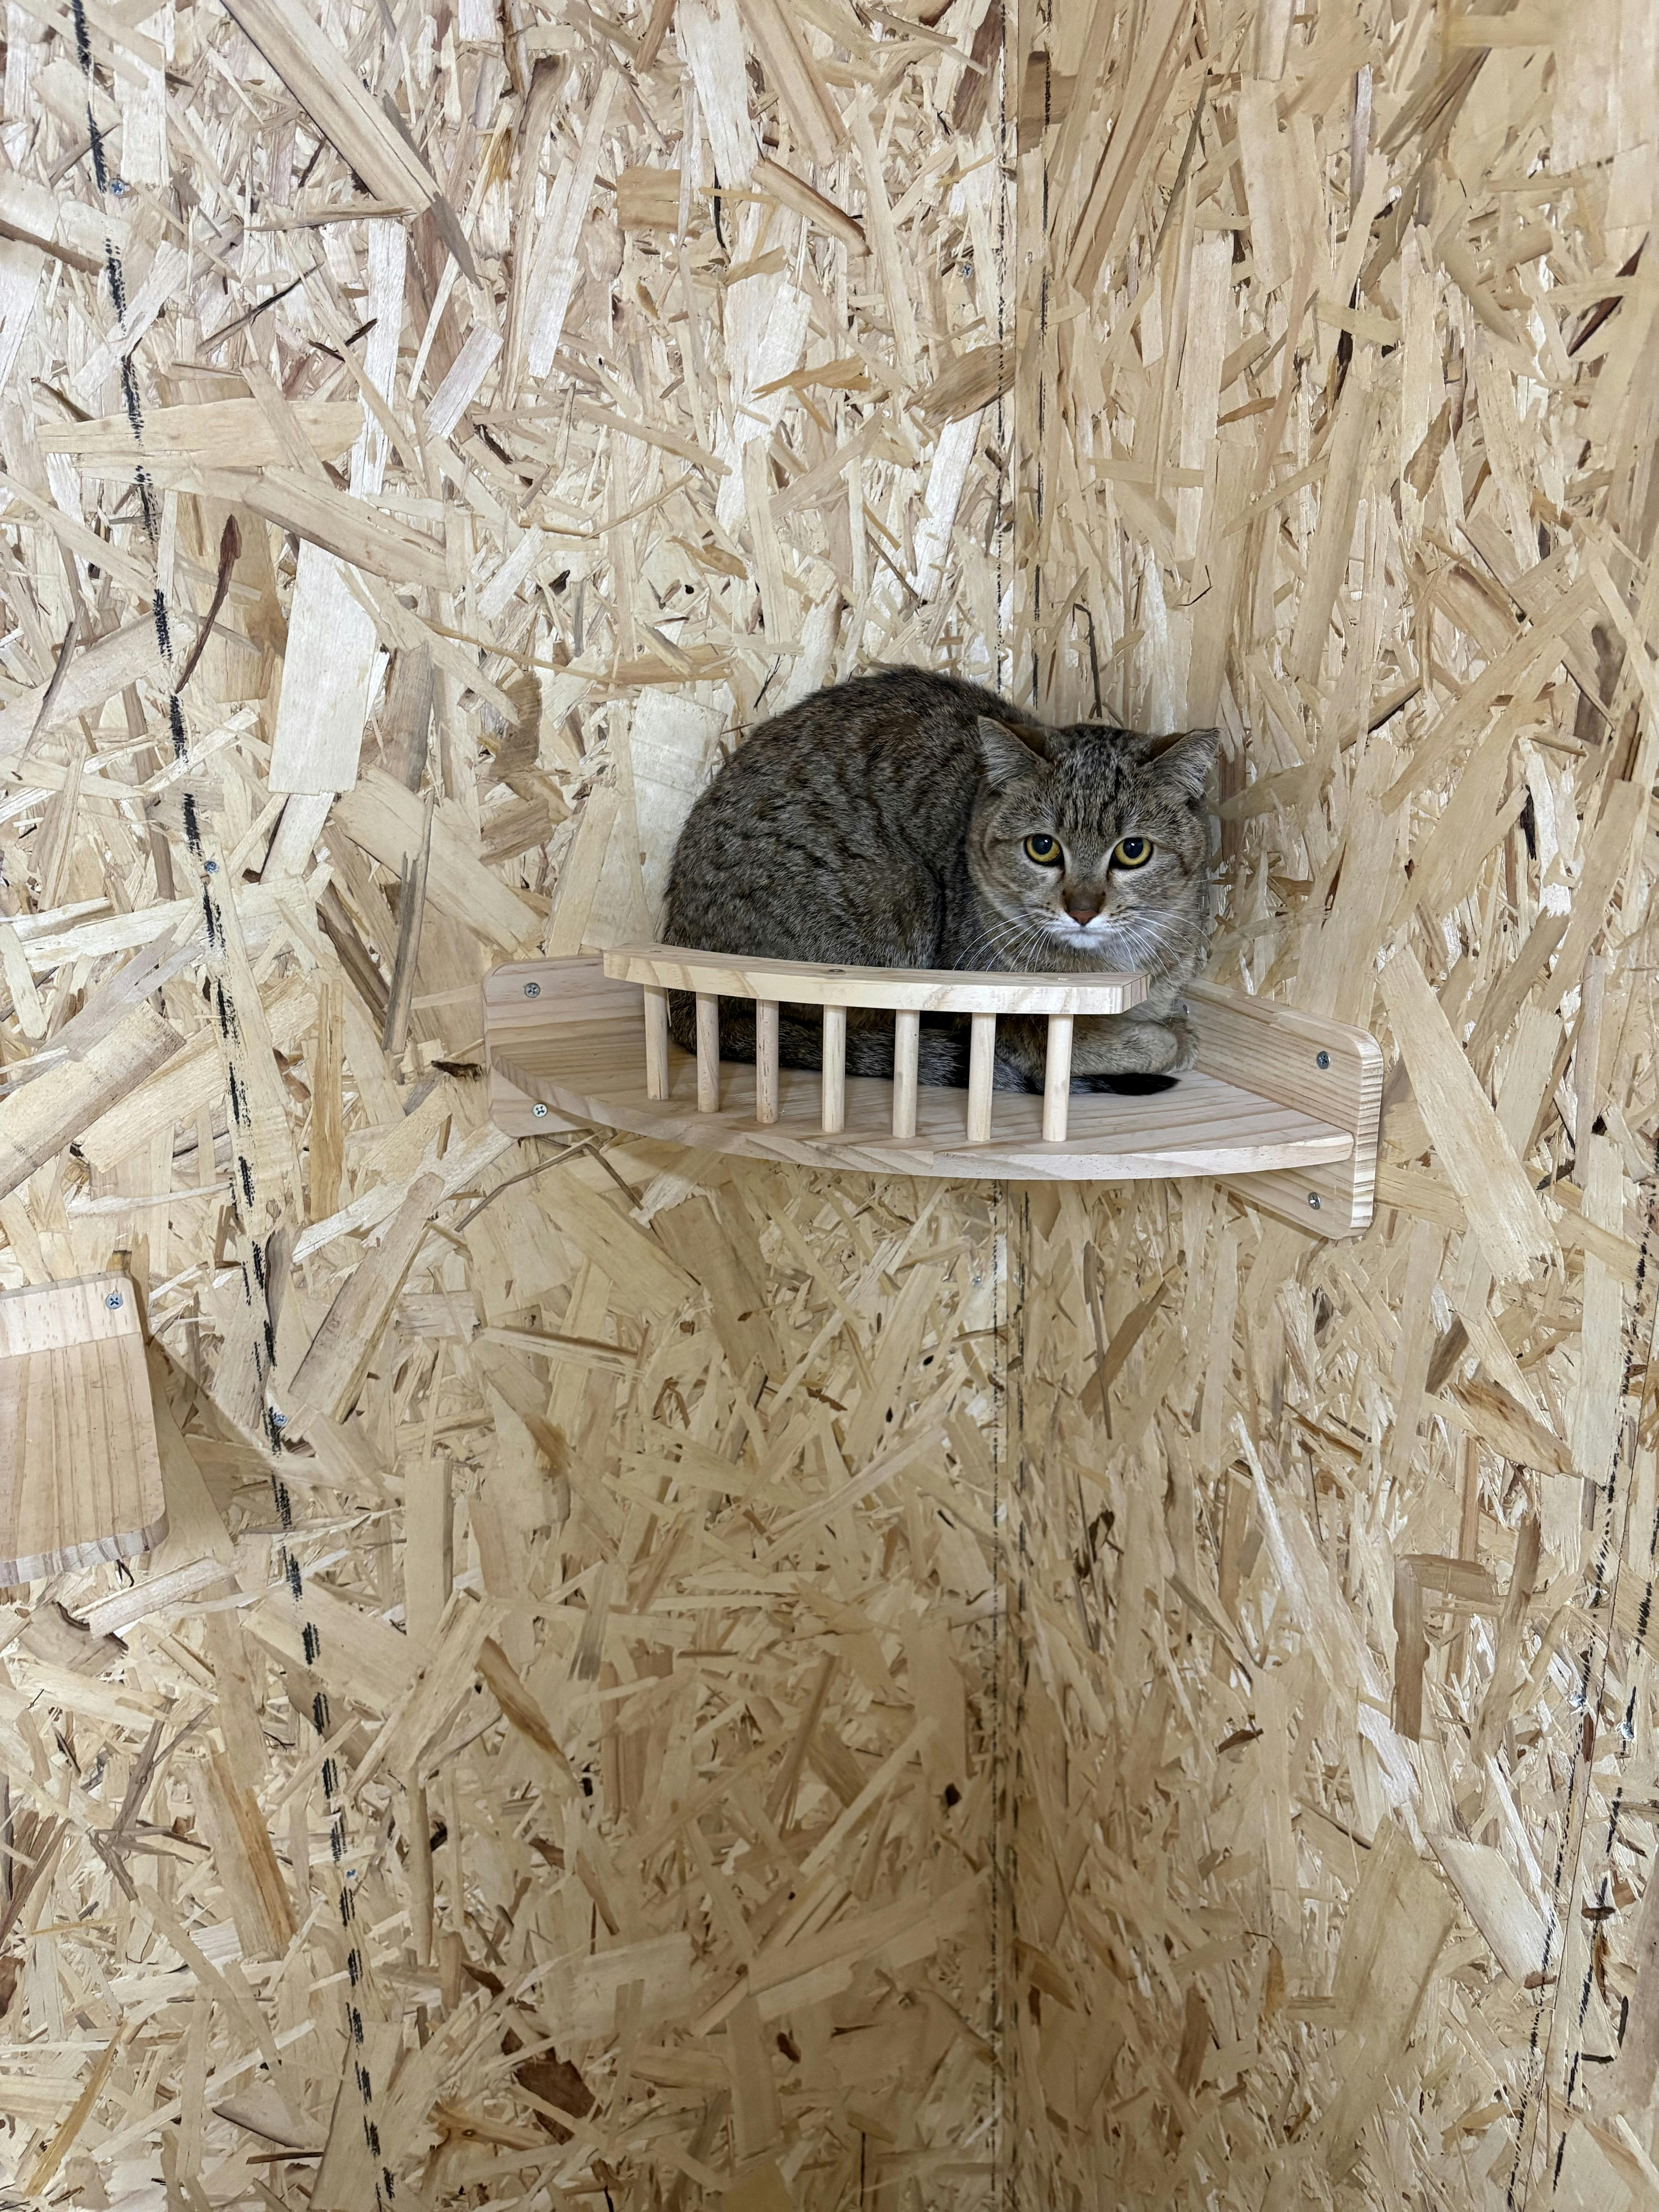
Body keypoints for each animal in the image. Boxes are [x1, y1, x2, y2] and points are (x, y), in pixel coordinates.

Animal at [661, 668, 1217, 1093]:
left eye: (1132, 851)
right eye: (1042, 847)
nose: (1082, 910)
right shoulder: (1005, 1021)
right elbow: (1114, 1046)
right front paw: (1166, 1040)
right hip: (901, 893)